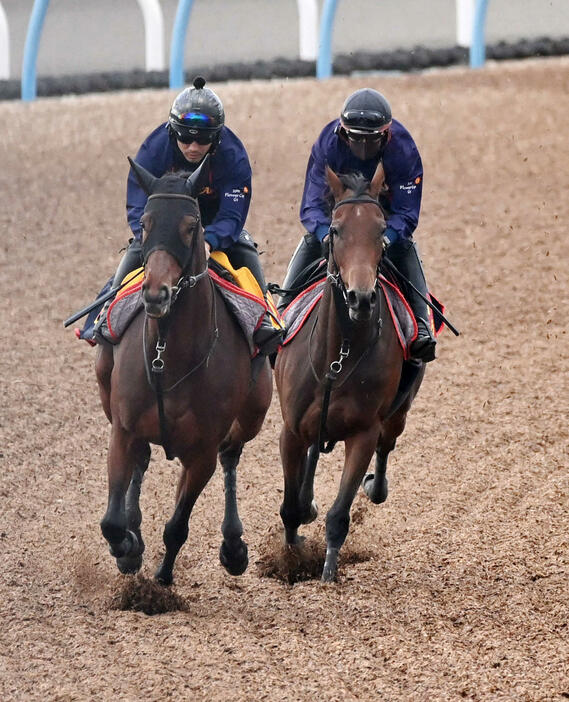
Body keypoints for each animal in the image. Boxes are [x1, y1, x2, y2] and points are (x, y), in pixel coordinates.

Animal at [96, 160, 272, 588]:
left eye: (191, 226)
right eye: (145, 223)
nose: (155, 293)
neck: (169, 357)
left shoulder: (202, 451)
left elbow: (177, 525)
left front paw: (161, 578)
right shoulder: (122, 428)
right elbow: (112, 521)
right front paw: (128, 548)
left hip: (252, 415)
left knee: (231, 457)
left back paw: (233, 545)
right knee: (142, 461)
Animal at [272, 164, 424, 584]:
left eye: (381, 230)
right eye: (336, 230)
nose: (361, 297)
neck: (337, 355)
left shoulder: (363, 433)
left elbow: (339, 515)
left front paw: (326, 575)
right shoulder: (290, 430)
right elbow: (290, 508)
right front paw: (291, 562)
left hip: (399, 411)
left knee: (388, 444)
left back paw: (376, 487)